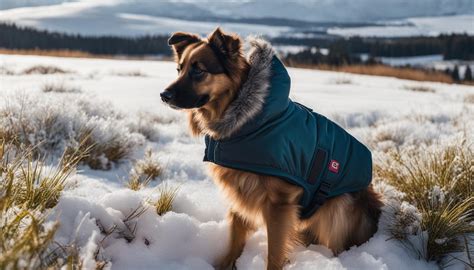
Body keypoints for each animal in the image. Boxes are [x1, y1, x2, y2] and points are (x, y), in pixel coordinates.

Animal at [161, 28, 384, 270]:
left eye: (199, 70)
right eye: (179, 69)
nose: (164, 95)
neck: (250, 120)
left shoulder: (280, 203)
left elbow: (275, 251)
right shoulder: (240, 189)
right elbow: (235, 238)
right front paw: (227, 264)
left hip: (338, 207)